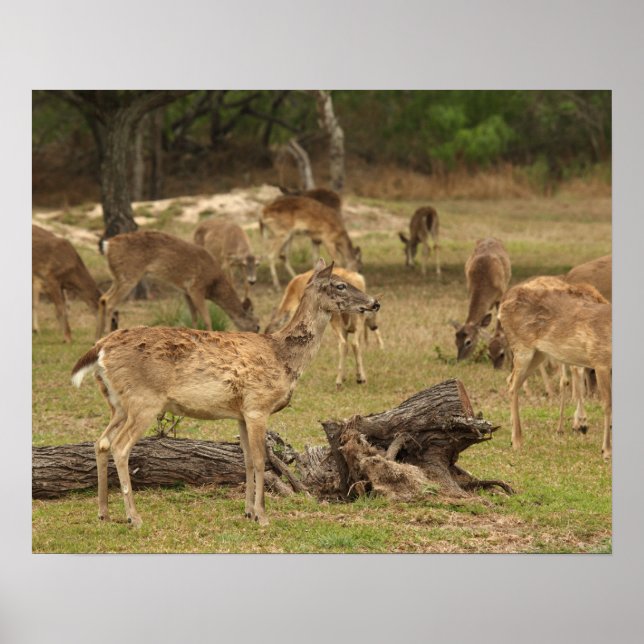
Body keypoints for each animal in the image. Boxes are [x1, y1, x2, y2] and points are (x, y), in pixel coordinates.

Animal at [71, 259, 380, 527]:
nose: (374, 302)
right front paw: (263, 516)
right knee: (120, 447)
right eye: (340, 285)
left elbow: (247, 460)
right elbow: (261, 461)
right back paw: (133, 517)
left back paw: (104, 513)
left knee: (100, 442)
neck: (284, 358)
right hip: (143, 400)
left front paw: (248, 512)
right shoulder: (257, 405)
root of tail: (100, 348)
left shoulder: (241, 413)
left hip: (117, 404)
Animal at [95, 230, 260, 340]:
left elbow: (194, 317)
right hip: (129, 274)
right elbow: (206, 319)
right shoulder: (196, 287)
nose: (256, 334)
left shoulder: (185, 291)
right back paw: (106, 335)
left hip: (118, 276)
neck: (213, 285)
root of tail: (108, 246)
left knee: (102, 298)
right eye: (257, 325)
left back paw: (97, 337)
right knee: (110, 302)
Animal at [498, 276, 611, 458]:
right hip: (522, 347)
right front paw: (606, 450)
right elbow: (607, 404)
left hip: (538, 353)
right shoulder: (600, 360)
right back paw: (517, 441)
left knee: (510, 380)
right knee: (514, 385)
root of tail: (502, 304)